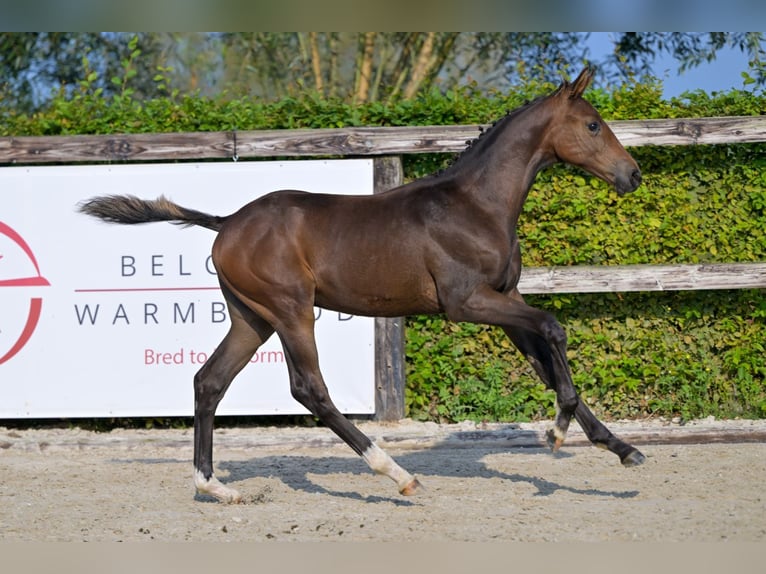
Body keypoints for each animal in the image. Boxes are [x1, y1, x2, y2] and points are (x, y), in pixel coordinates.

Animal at [79, 70, 640, 506]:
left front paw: (620, 447)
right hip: (290, 309)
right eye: (592, 124)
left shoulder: (506, 298)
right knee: (309, 388)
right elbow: (554, 328)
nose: (632, 175)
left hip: (250, 317)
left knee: (209, 381)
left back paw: (214, 486)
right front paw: (557, 430)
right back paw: (398, 474)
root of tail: (227, 223)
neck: (475, 204)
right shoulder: (467, 303)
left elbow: (543, 360)